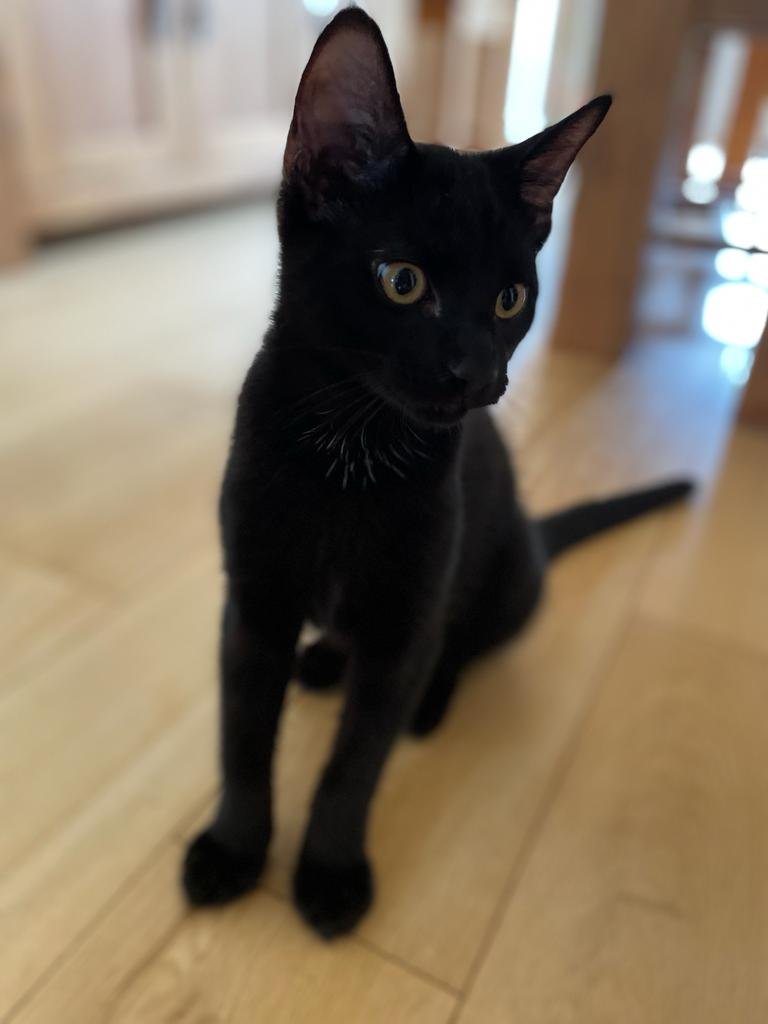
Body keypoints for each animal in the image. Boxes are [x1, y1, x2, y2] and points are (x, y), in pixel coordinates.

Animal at [183, 8, 696, 937]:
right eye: (402, 280)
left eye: (510, 300)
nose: (474, 373)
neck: (351, 455)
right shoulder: (254, 602)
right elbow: (242, 739)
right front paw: (234, 850)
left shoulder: (407, 615)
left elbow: (356, 762)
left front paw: (330, 872)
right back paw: (324, 662)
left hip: (507, 582)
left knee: (456, 647)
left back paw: (423, 699)